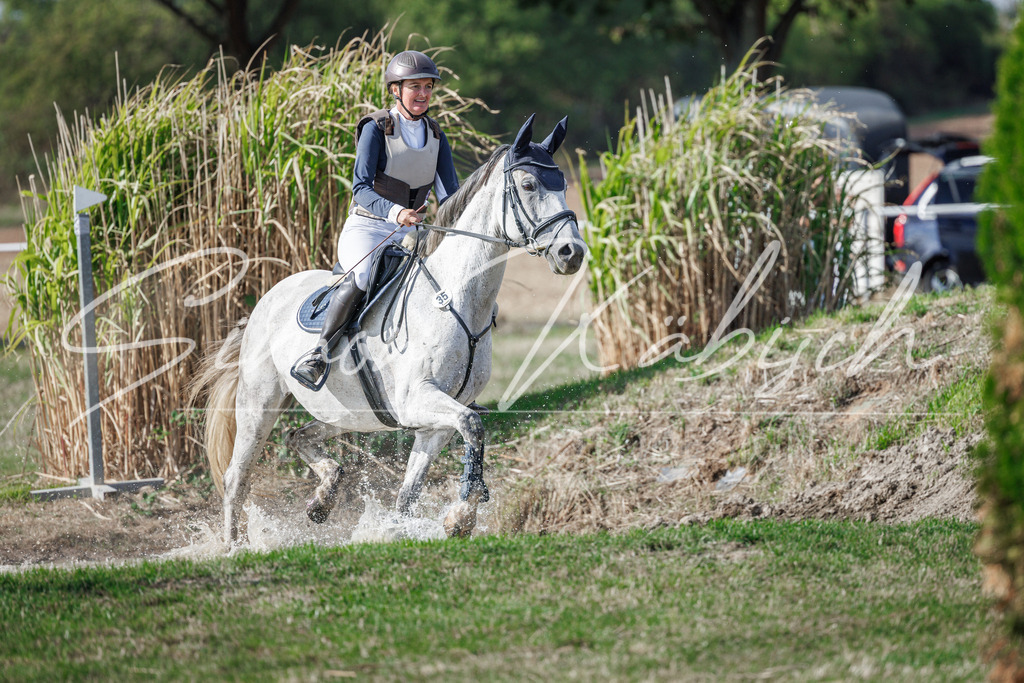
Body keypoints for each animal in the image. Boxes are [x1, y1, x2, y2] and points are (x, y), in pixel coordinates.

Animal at [191, 114, 587, 545]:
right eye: (529, 185)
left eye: (563, 185)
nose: (572, 253)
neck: (454, 298)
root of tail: (265, 303)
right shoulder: (417, 400)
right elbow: (474, 424)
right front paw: (463, 514)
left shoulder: (435, 423)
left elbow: (410, 493)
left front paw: (442, 521)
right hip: (259, 402)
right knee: (237, 477)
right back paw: (236, 546)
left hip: (343, 412)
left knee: (298, 437)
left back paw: (323, 498)